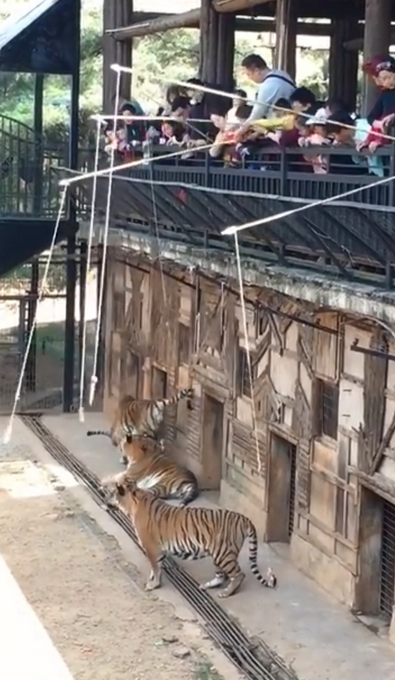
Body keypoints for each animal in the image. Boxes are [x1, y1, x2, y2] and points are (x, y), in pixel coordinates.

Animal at [105, 476, 278, 596]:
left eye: (112, 493)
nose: (105, 499)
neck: (133, 502)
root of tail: (244, 518)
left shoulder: (152, 548)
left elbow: (155, 568)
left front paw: (153, 585)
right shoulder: (157, 550)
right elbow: (157, 568)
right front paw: (153, 581)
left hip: (224, 554)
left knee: (239, 575)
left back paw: (226, 593)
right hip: (218, 555)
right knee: (222, 576)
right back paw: (207, 585)